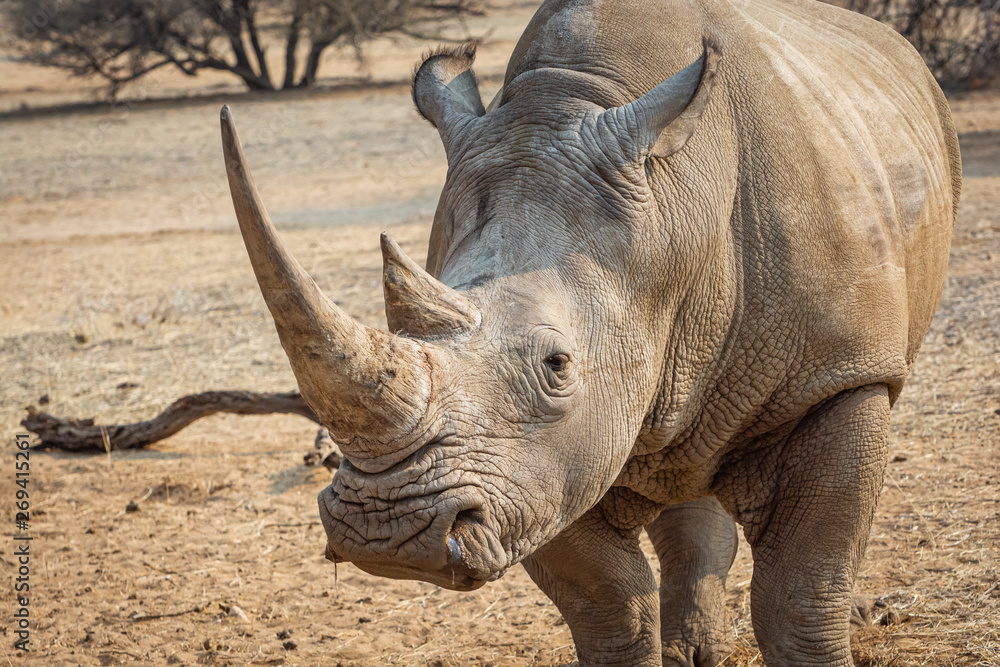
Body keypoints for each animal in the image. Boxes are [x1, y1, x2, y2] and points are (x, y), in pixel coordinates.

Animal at [219, 0, 959, 663]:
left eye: (557, 365)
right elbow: (609, 608)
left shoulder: (837, 374)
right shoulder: (536, 469)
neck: (673, 211)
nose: (385, 530)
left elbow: (799, 598)